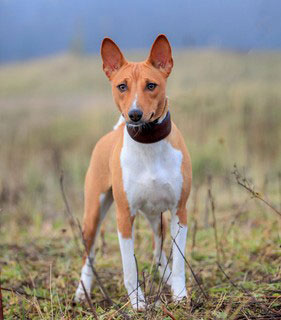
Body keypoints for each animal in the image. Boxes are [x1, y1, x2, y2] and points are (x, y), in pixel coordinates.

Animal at [74, 33, 191, 308]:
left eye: (151, 85)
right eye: (122, 87)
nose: (134, 114)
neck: (148, 144)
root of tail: (115, 131)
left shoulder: (179, 211)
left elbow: (179, 261)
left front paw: (179, 294)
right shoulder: (124, 217)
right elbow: (129, 267)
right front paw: (137, 302)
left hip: (155, 216)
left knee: (158, 250)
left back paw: (166, 277)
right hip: (94, 212)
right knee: (88, 255)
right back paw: (82, 291)